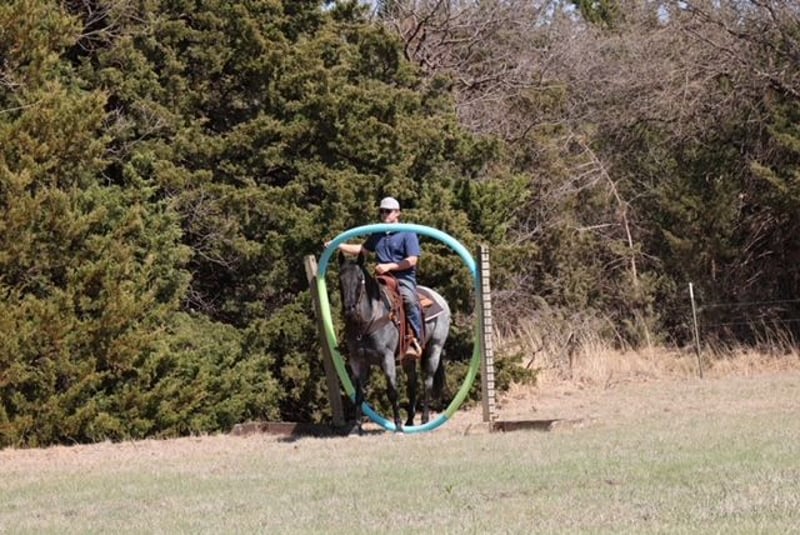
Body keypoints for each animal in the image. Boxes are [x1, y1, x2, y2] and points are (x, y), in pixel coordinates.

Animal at [337, 252, 451, 433]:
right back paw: (410, 421)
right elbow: (359, 394)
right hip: (408, 358)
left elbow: (392, 391)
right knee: (412, 385)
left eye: (360, 279)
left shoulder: (387, 358)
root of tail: (440, 299)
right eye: (340, 278)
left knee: (427, 382)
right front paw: (356, 428)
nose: (349, 309)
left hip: (435, 348)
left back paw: (424, 420)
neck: (369, 320)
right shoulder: (357, 360)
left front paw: (397, 426)